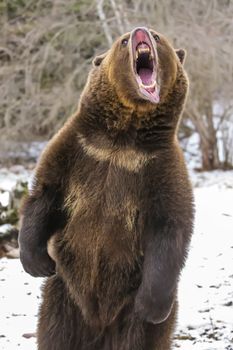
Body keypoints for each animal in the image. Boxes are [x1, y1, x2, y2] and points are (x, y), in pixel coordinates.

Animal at [18, 27, 193, 350]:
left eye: (158, 37)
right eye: (123, 40)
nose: (140, 31)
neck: (121, 140)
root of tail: (99, 326)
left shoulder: (159, 168)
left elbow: (170, 226)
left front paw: (151, 305)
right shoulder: (78, 150)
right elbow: (46, 195)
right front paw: (37, 262)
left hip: (125, 312)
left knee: (139, 338)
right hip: (64, 297)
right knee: (54, 333)